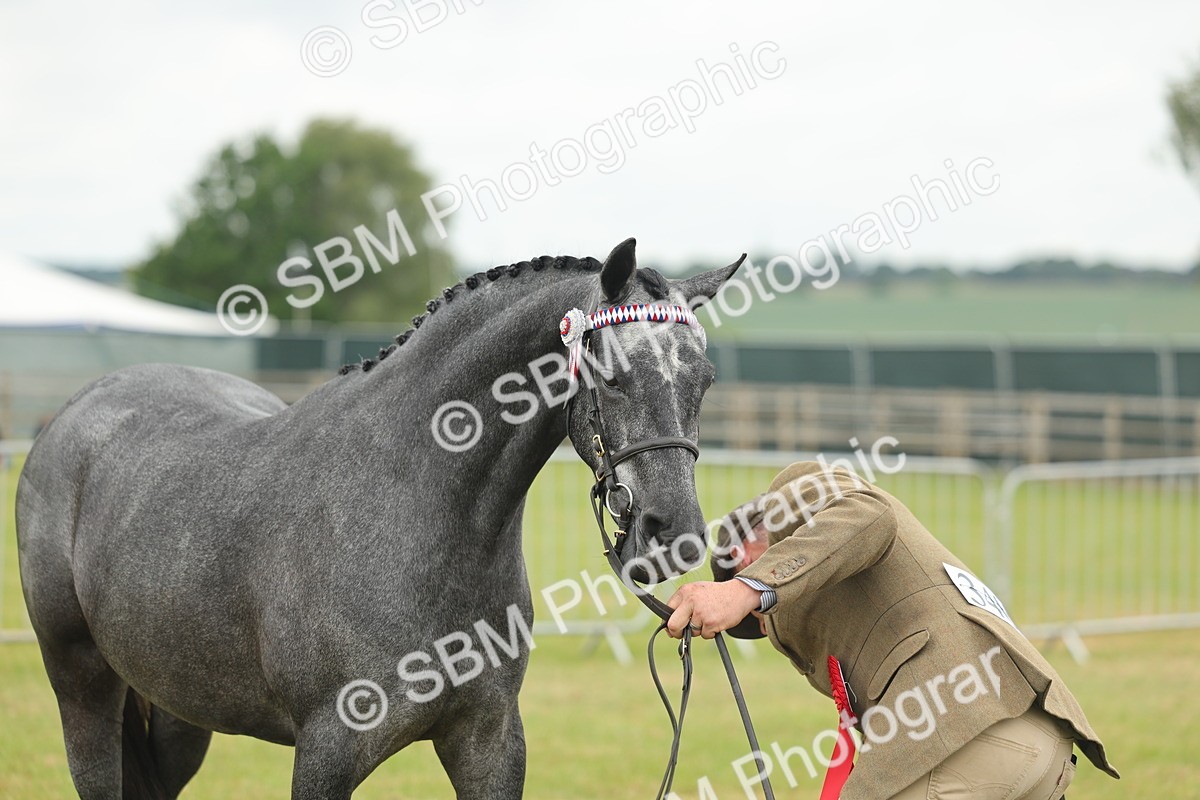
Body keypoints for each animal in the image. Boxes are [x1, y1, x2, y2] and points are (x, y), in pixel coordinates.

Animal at [16, 238, 743, 799]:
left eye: (705, 380)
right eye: (610, 373)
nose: (674, 534)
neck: (417, 509)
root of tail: (78, 410)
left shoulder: (489, 741)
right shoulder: (327, 750)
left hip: (179, 709)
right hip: (84, 691)